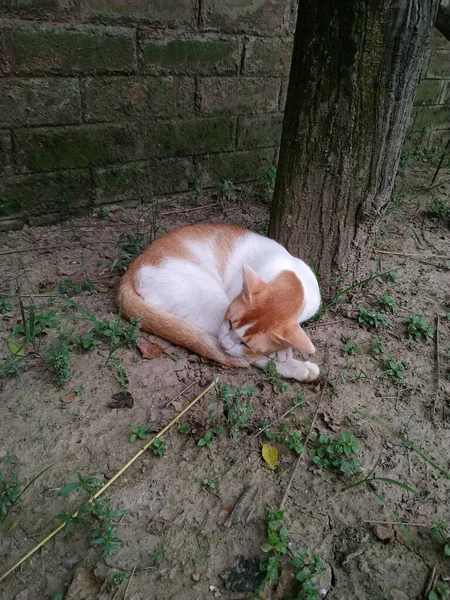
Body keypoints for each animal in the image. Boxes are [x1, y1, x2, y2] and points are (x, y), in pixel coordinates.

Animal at [116, 223, 320, 382]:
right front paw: (281, 351)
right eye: (229, 322)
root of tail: (131, 271)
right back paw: (300, 369)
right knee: (230, 356)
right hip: (211, 302)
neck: (293, 277)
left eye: (247, 343)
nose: (226, 343)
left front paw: (284, 346)